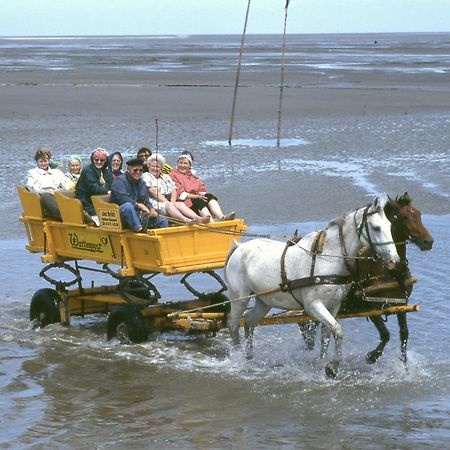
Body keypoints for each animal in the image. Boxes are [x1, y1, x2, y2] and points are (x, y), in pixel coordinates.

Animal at [223, 192, 400, 378]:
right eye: (376, 228)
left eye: (389, 225)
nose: (394, 260)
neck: (328, 257)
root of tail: (239, 248)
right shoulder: (313, 305)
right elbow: (338, 331)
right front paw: (333, 367)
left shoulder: (334, 306)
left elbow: (326, 336)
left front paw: (322, 365)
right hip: (240, 298)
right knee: (233, 324)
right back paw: (238, 359)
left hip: (264, 301)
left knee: (249, 321)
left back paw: (249, 357)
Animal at [300, 192, 434, 366]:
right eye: (404, 217)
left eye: (419, 214)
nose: (428, 241)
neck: (389, 271)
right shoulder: (370, 306)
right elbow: (385, 334)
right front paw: (372, 356)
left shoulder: (401, 304)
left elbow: (404, 334)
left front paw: (404, 366)